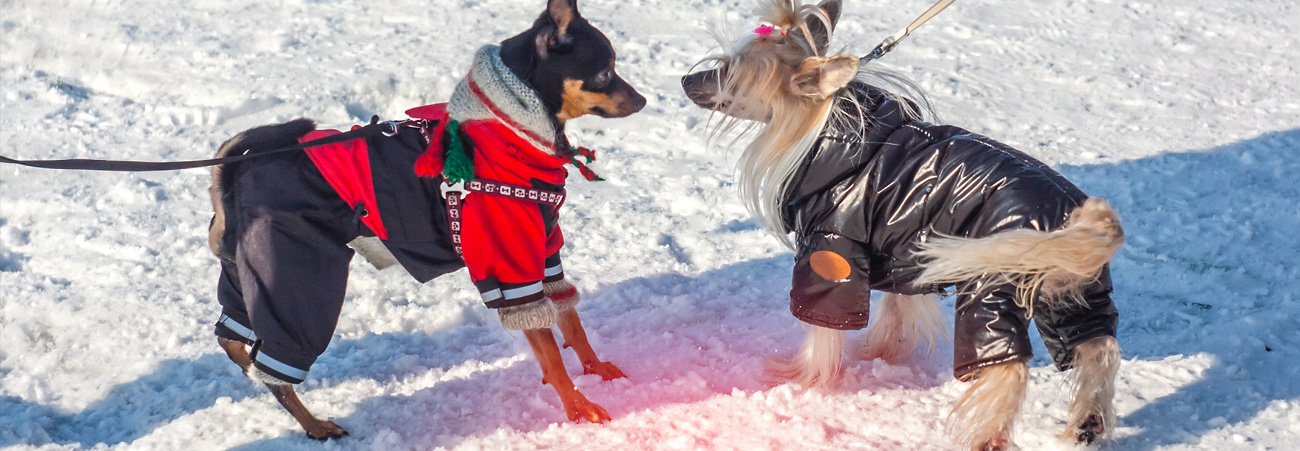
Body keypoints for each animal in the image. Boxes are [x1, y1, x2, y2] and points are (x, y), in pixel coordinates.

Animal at [686, 1, 1123, 449]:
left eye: (728, 72)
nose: (685, 79)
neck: (827, 128)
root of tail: (1075, 217)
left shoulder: (831, 250)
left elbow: (824, 325)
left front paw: (803, 377)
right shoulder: (900, 253)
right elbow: (896, 309)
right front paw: (879, 353)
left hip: (992, 284)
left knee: (1008, 365)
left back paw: (987, 436)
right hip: (1074, 294)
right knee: (1097, 346)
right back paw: (1088, 424)